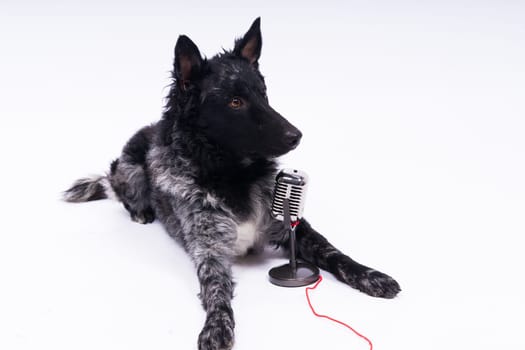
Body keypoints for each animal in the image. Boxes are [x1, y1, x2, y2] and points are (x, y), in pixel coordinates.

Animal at [65, 18, 402, 350]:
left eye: (263, 94)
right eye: (235, 102)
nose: (297, 135)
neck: (231, 173)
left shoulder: (292, 225)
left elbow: (334, 252)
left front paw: (370, 275)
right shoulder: (209, 249)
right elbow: (216, 289)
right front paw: (216, 325)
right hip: (130, 170)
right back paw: (141, 212)